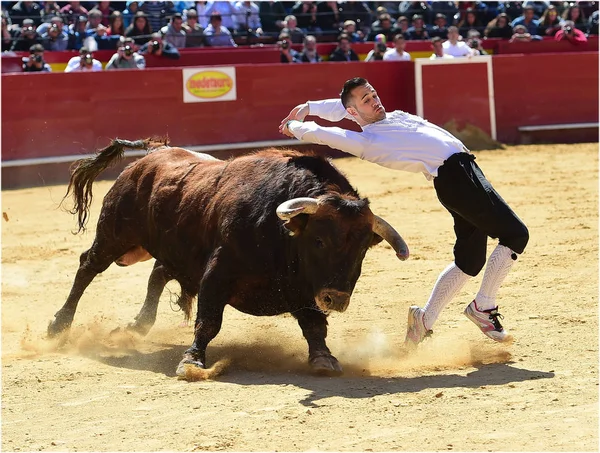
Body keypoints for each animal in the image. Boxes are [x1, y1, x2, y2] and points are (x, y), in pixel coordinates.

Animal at [50, 137, 408, 374]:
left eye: (362, 250)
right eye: (319, 241)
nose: (336, 299)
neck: (282, 235)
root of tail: (151, 156)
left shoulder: (305, 289)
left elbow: (315, 325)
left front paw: (324, 358)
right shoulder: (217, 272)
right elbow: (209, 320)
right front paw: (191, 361)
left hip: (173, 250)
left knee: (157, 273)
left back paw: (137, 326)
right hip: (115, 236)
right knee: (88, 267)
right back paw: (58, 325)